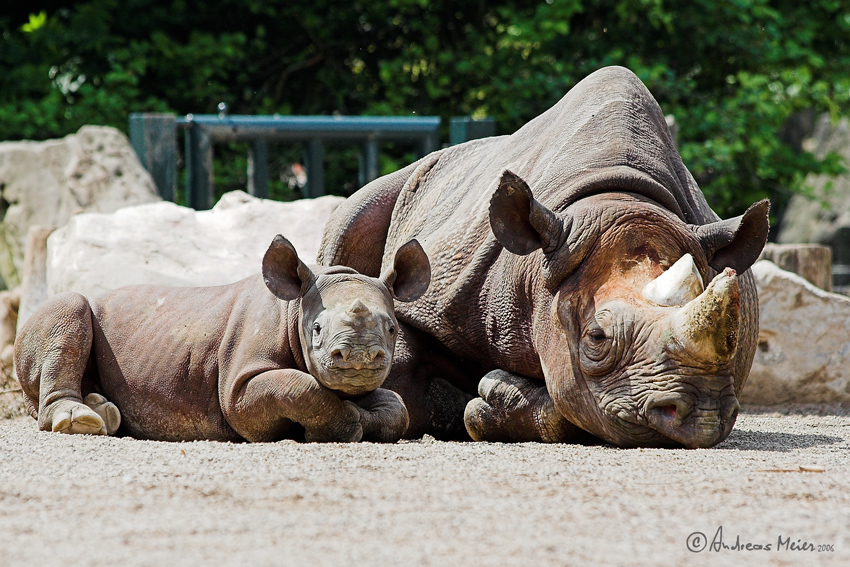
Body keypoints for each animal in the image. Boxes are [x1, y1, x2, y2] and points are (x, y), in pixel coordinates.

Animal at [18, 235, 430, 444]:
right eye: (316, 330)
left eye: (392, 330)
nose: (359, 357)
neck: (295, 308)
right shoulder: (238, 384)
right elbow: (302, 387)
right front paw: (343, 426)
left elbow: (397, 407)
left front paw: (363, 417)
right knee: (69, 307)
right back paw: (81, 422)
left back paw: (104, 414)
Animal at [318, 66, 768, 448]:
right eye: (596, 338)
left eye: (734, 337)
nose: (701, 415)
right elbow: (403, 373)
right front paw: (473, 400)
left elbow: (572, 406)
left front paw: (494, 399)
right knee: (355, 212)